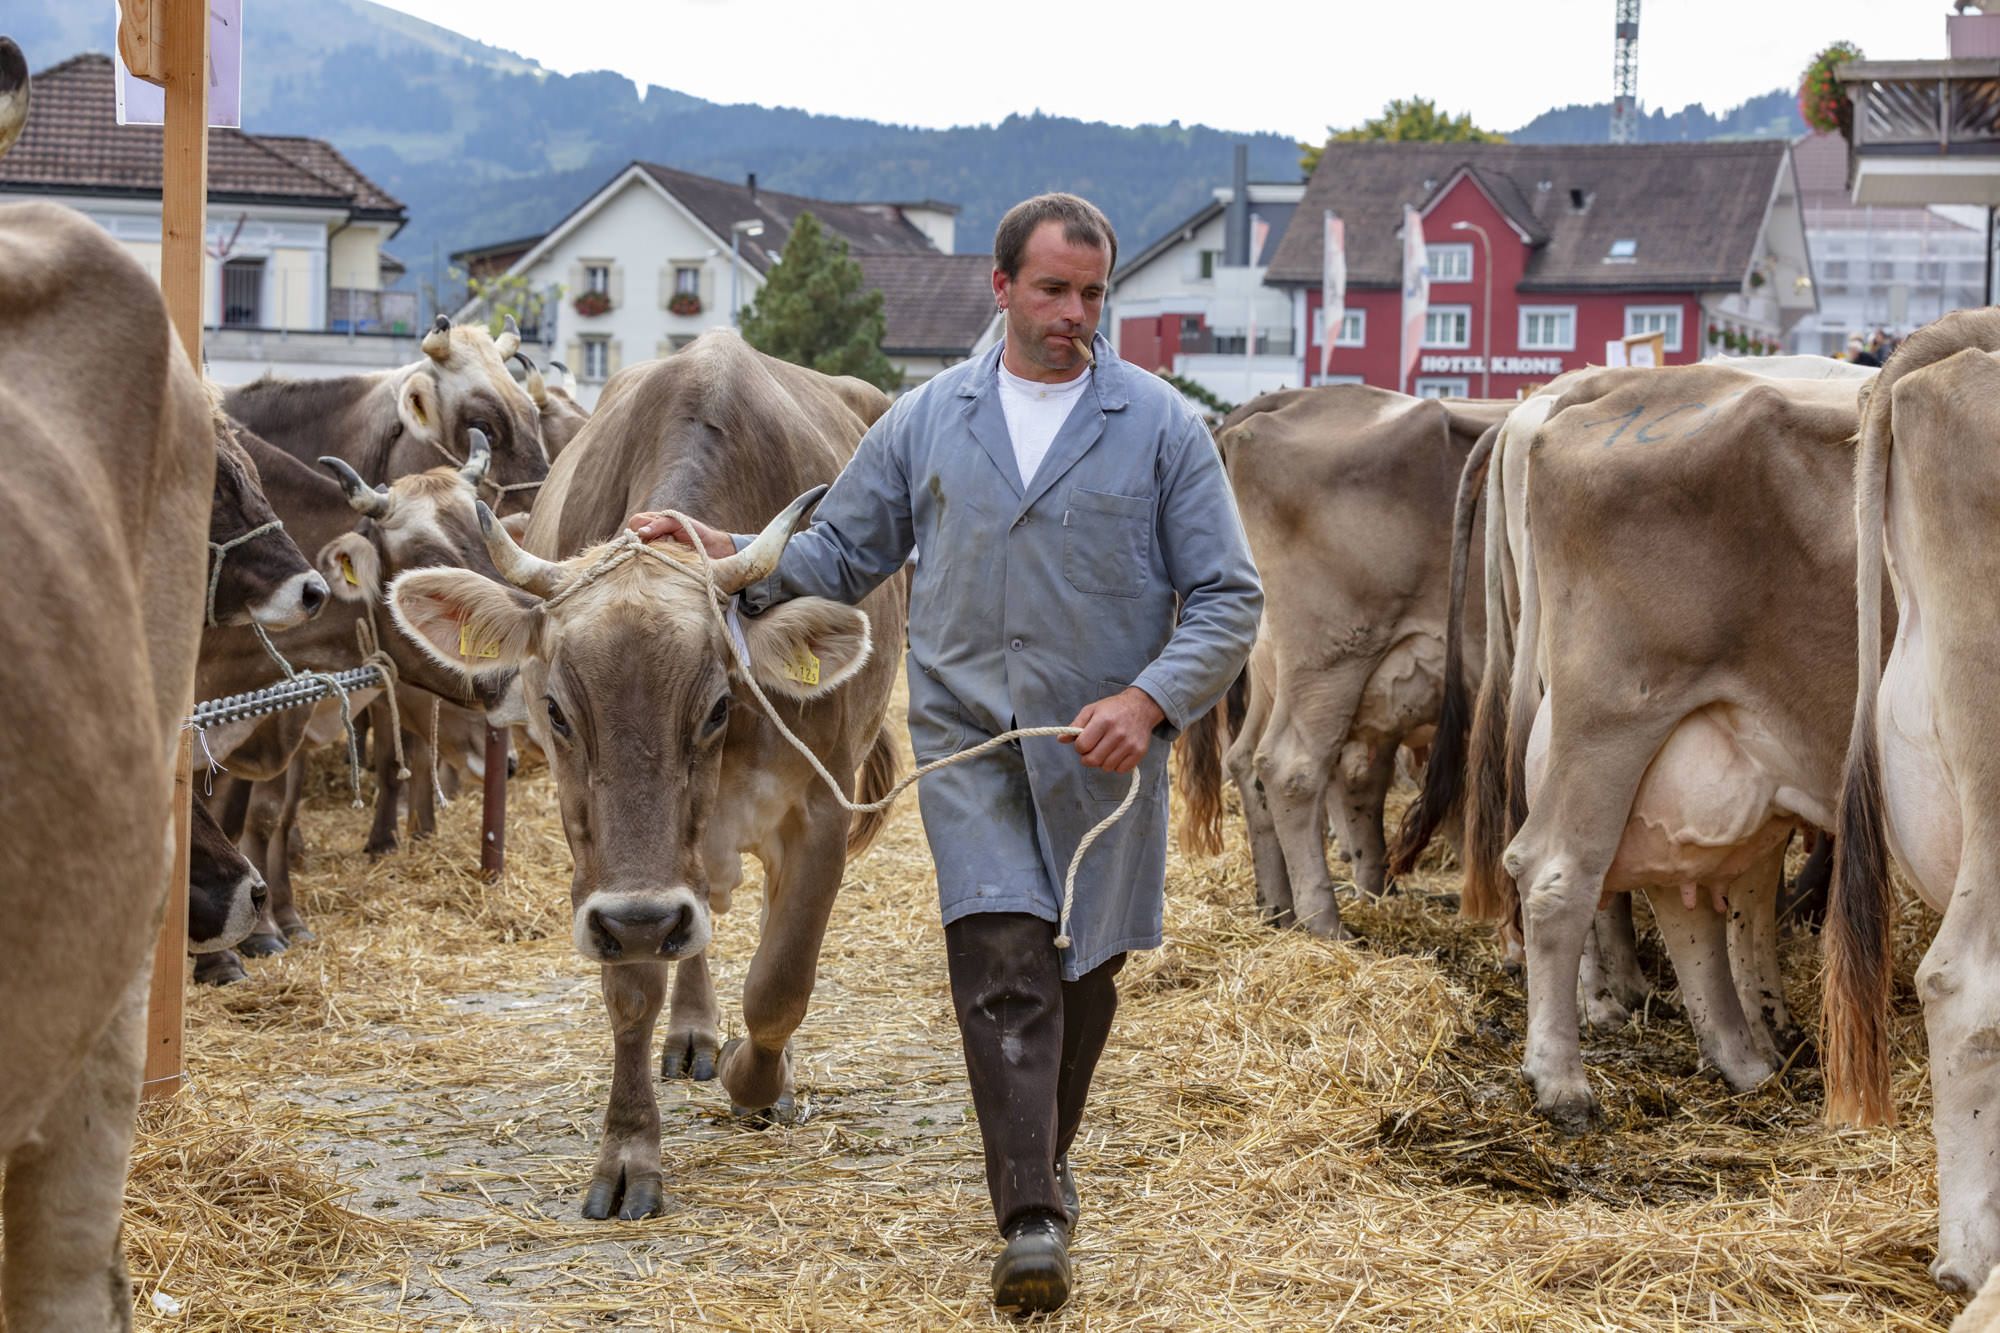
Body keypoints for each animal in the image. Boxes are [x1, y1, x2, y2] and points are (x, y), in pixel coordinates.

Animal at [388, 332, 906, 1220]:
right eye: (556, 710)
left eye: (717, 704)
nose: (647, 914)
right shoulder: (605, 872)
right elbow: (633, 988)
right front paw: (629, 1148)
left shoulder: (818, 813)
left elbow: (780, 980)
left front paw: (758, 1078)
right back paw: (693, 1030)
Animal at [1173, 386, 1509, 938]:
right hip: (1331, 662)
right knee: (1292, 769)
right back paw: (1325, 922)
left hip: (1280, 671)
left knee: (1256, 764)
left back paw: (1281, 909)